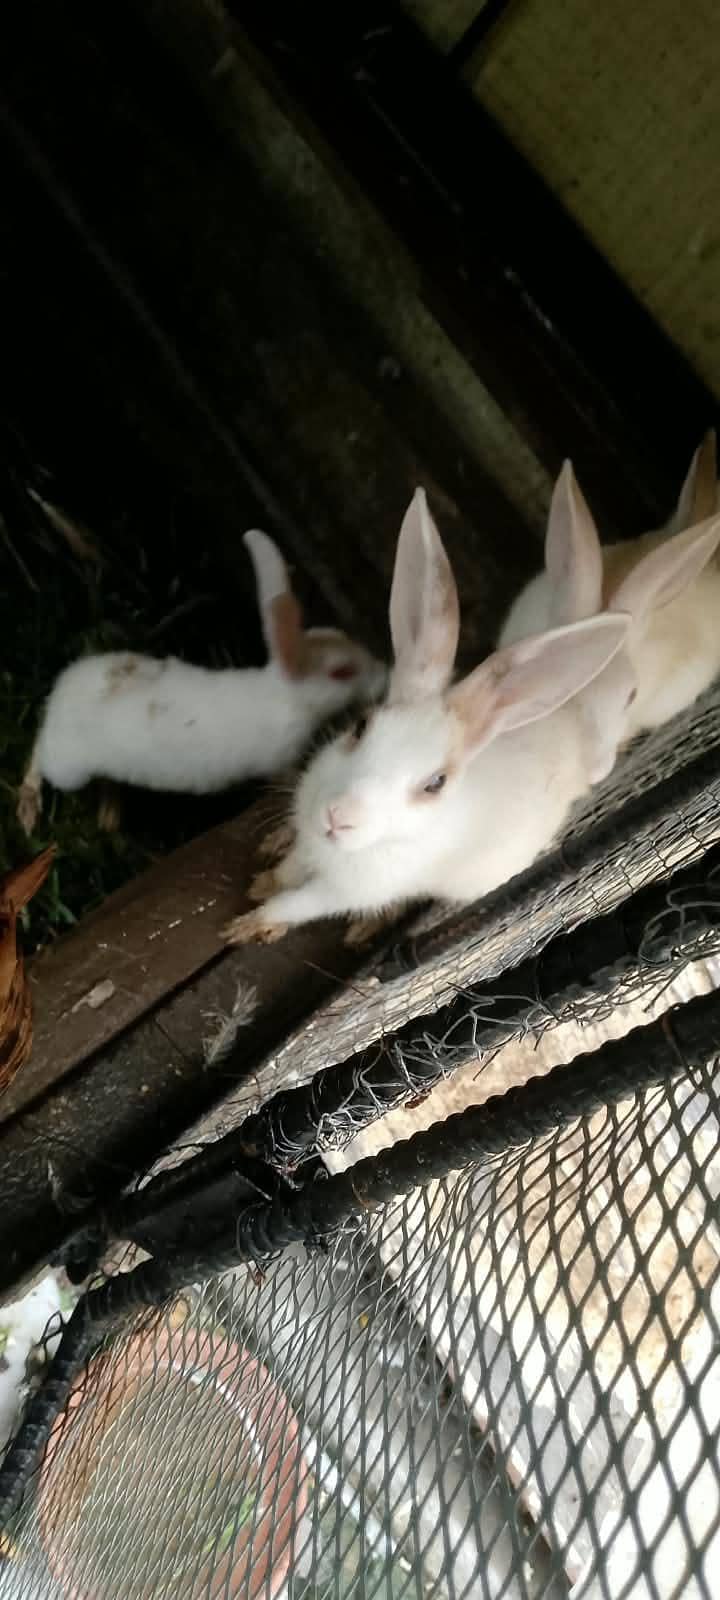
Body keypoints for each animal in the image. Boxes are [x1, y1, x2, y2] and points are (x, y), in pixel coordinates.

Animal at [17, 528, 386, 835]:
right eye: (342, 672)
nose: (384, 674)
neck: (284, 696)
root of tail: (61, 693)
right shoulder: (280, 761)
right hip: (67, 768)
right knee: (37, 751)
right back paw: (29, 805)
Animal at [222, 488, 630, 947]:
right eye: (361, 726)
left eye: (435, 784)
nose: (338, 815)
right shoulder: (309, 840)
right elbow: (289, 869)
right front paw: (264, 882)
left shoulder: (345, 890)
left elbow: (298, 904)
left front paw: (248, 925)